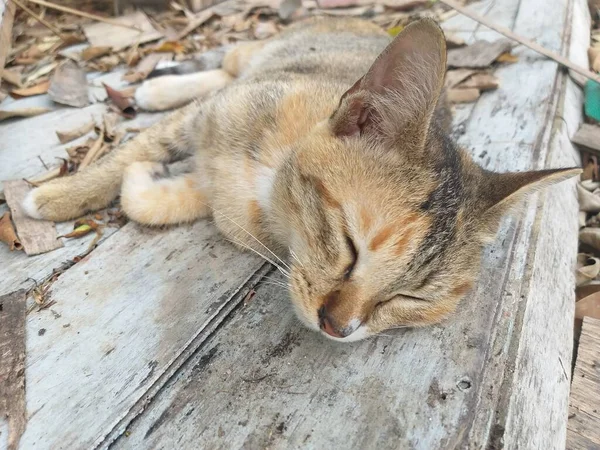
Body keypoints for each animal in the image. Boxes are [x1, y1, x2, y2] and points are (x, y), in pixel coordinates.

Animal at [21, 17, 580, 342]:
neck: (269, 191)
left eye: (411, 300)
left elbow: (154, 200)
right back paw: (158, 88)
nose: (339, 327)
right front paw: (58, 195)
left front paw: (144, 183)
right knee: (228, 63)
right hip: (257, 57)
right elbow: (138, 149)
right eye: (350, 244)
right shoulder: (206, 120)